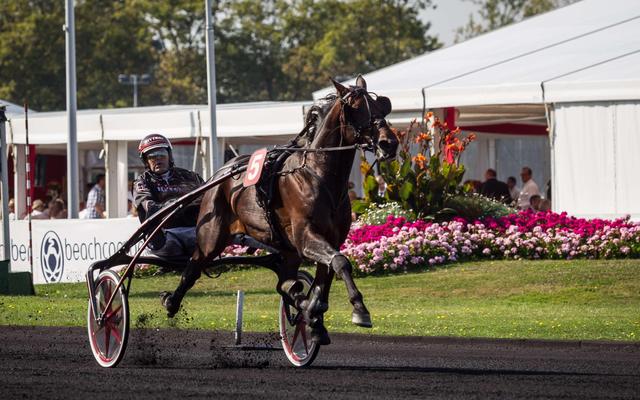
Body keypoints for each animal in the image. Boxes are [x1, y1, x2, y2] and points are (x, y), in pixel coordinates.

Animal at [162, 76, 398, 346]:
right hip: (212, 234)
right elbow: (340, 262)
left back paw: (296, 295)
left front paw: (314, 316)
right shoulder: (306, 237)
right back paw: (171, 302)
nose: (389, 143)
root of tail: (221, 172)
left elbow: (326, 275)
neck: (317, 174)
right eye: (356, 108)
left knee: (284, 281)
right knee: (194, 265)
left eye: (382, 106)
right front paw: (359, 309)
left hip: (287, 249)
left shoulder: (329, 239)